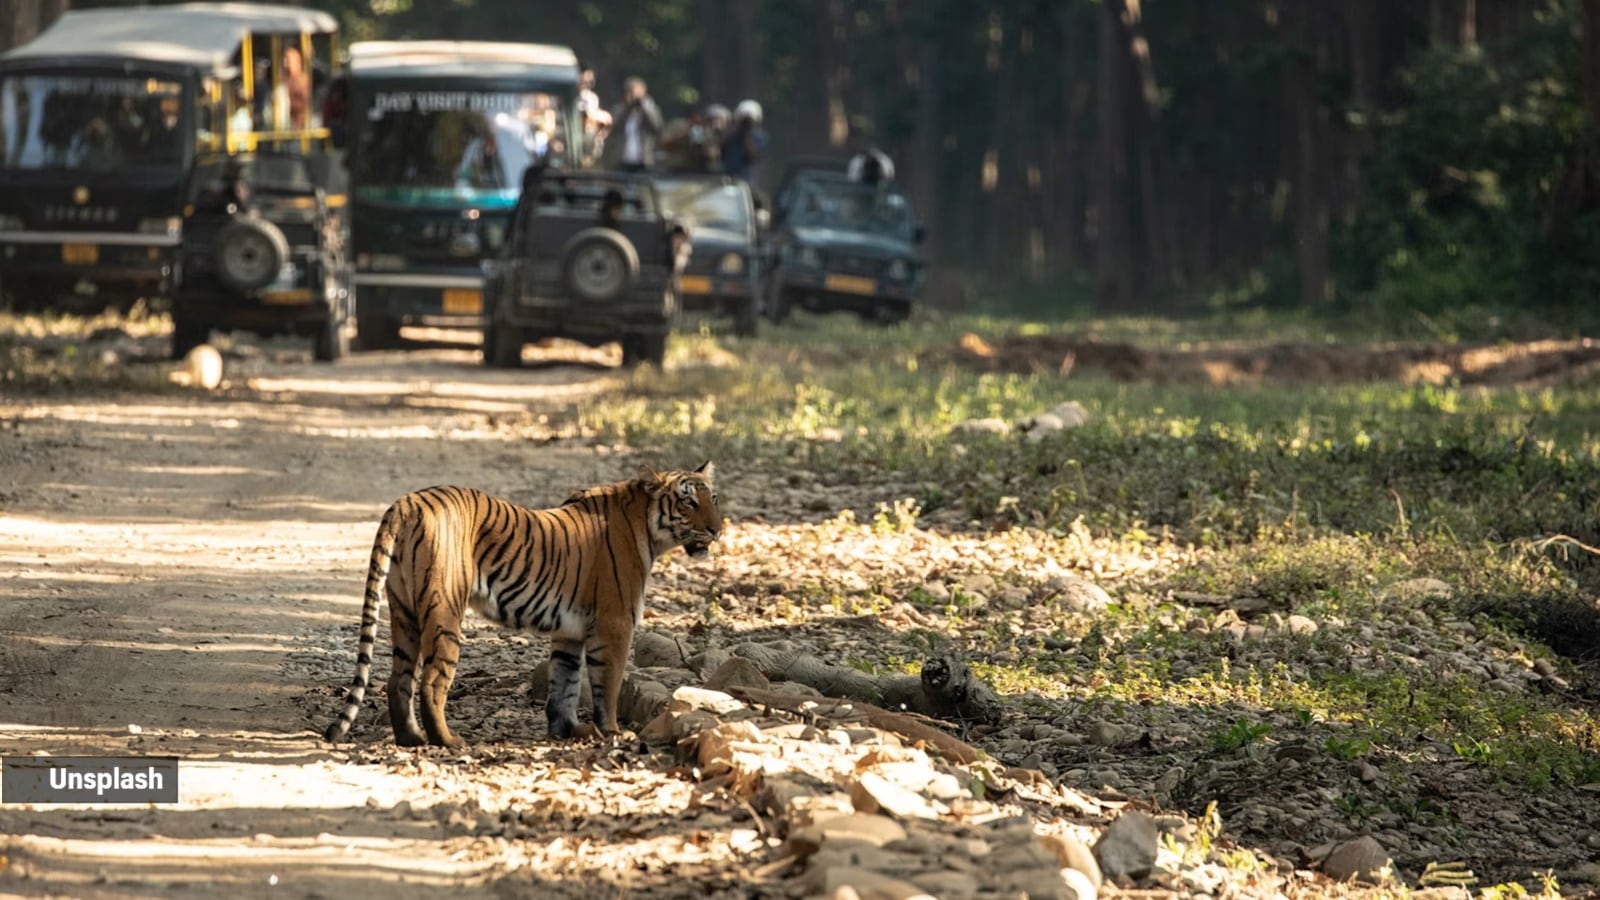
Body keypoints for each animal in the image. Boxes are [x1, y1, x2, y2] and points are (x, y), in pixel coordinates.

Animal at [322, 462, 721, 748]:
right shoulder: (615, 623)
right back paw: (448, 741)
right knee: (432, 682)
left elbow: (565, 683)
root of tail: (406, 502)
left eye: (712, 498)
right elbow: (607, 684)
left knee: (398, 680)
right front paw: (612, 733)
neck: (647, 527)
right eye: (687, 501)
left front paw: (568, 731)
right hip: (444, 611)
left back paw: (411, 739)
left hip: (403, 611)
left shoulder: (570, 632)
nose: (717, 530)